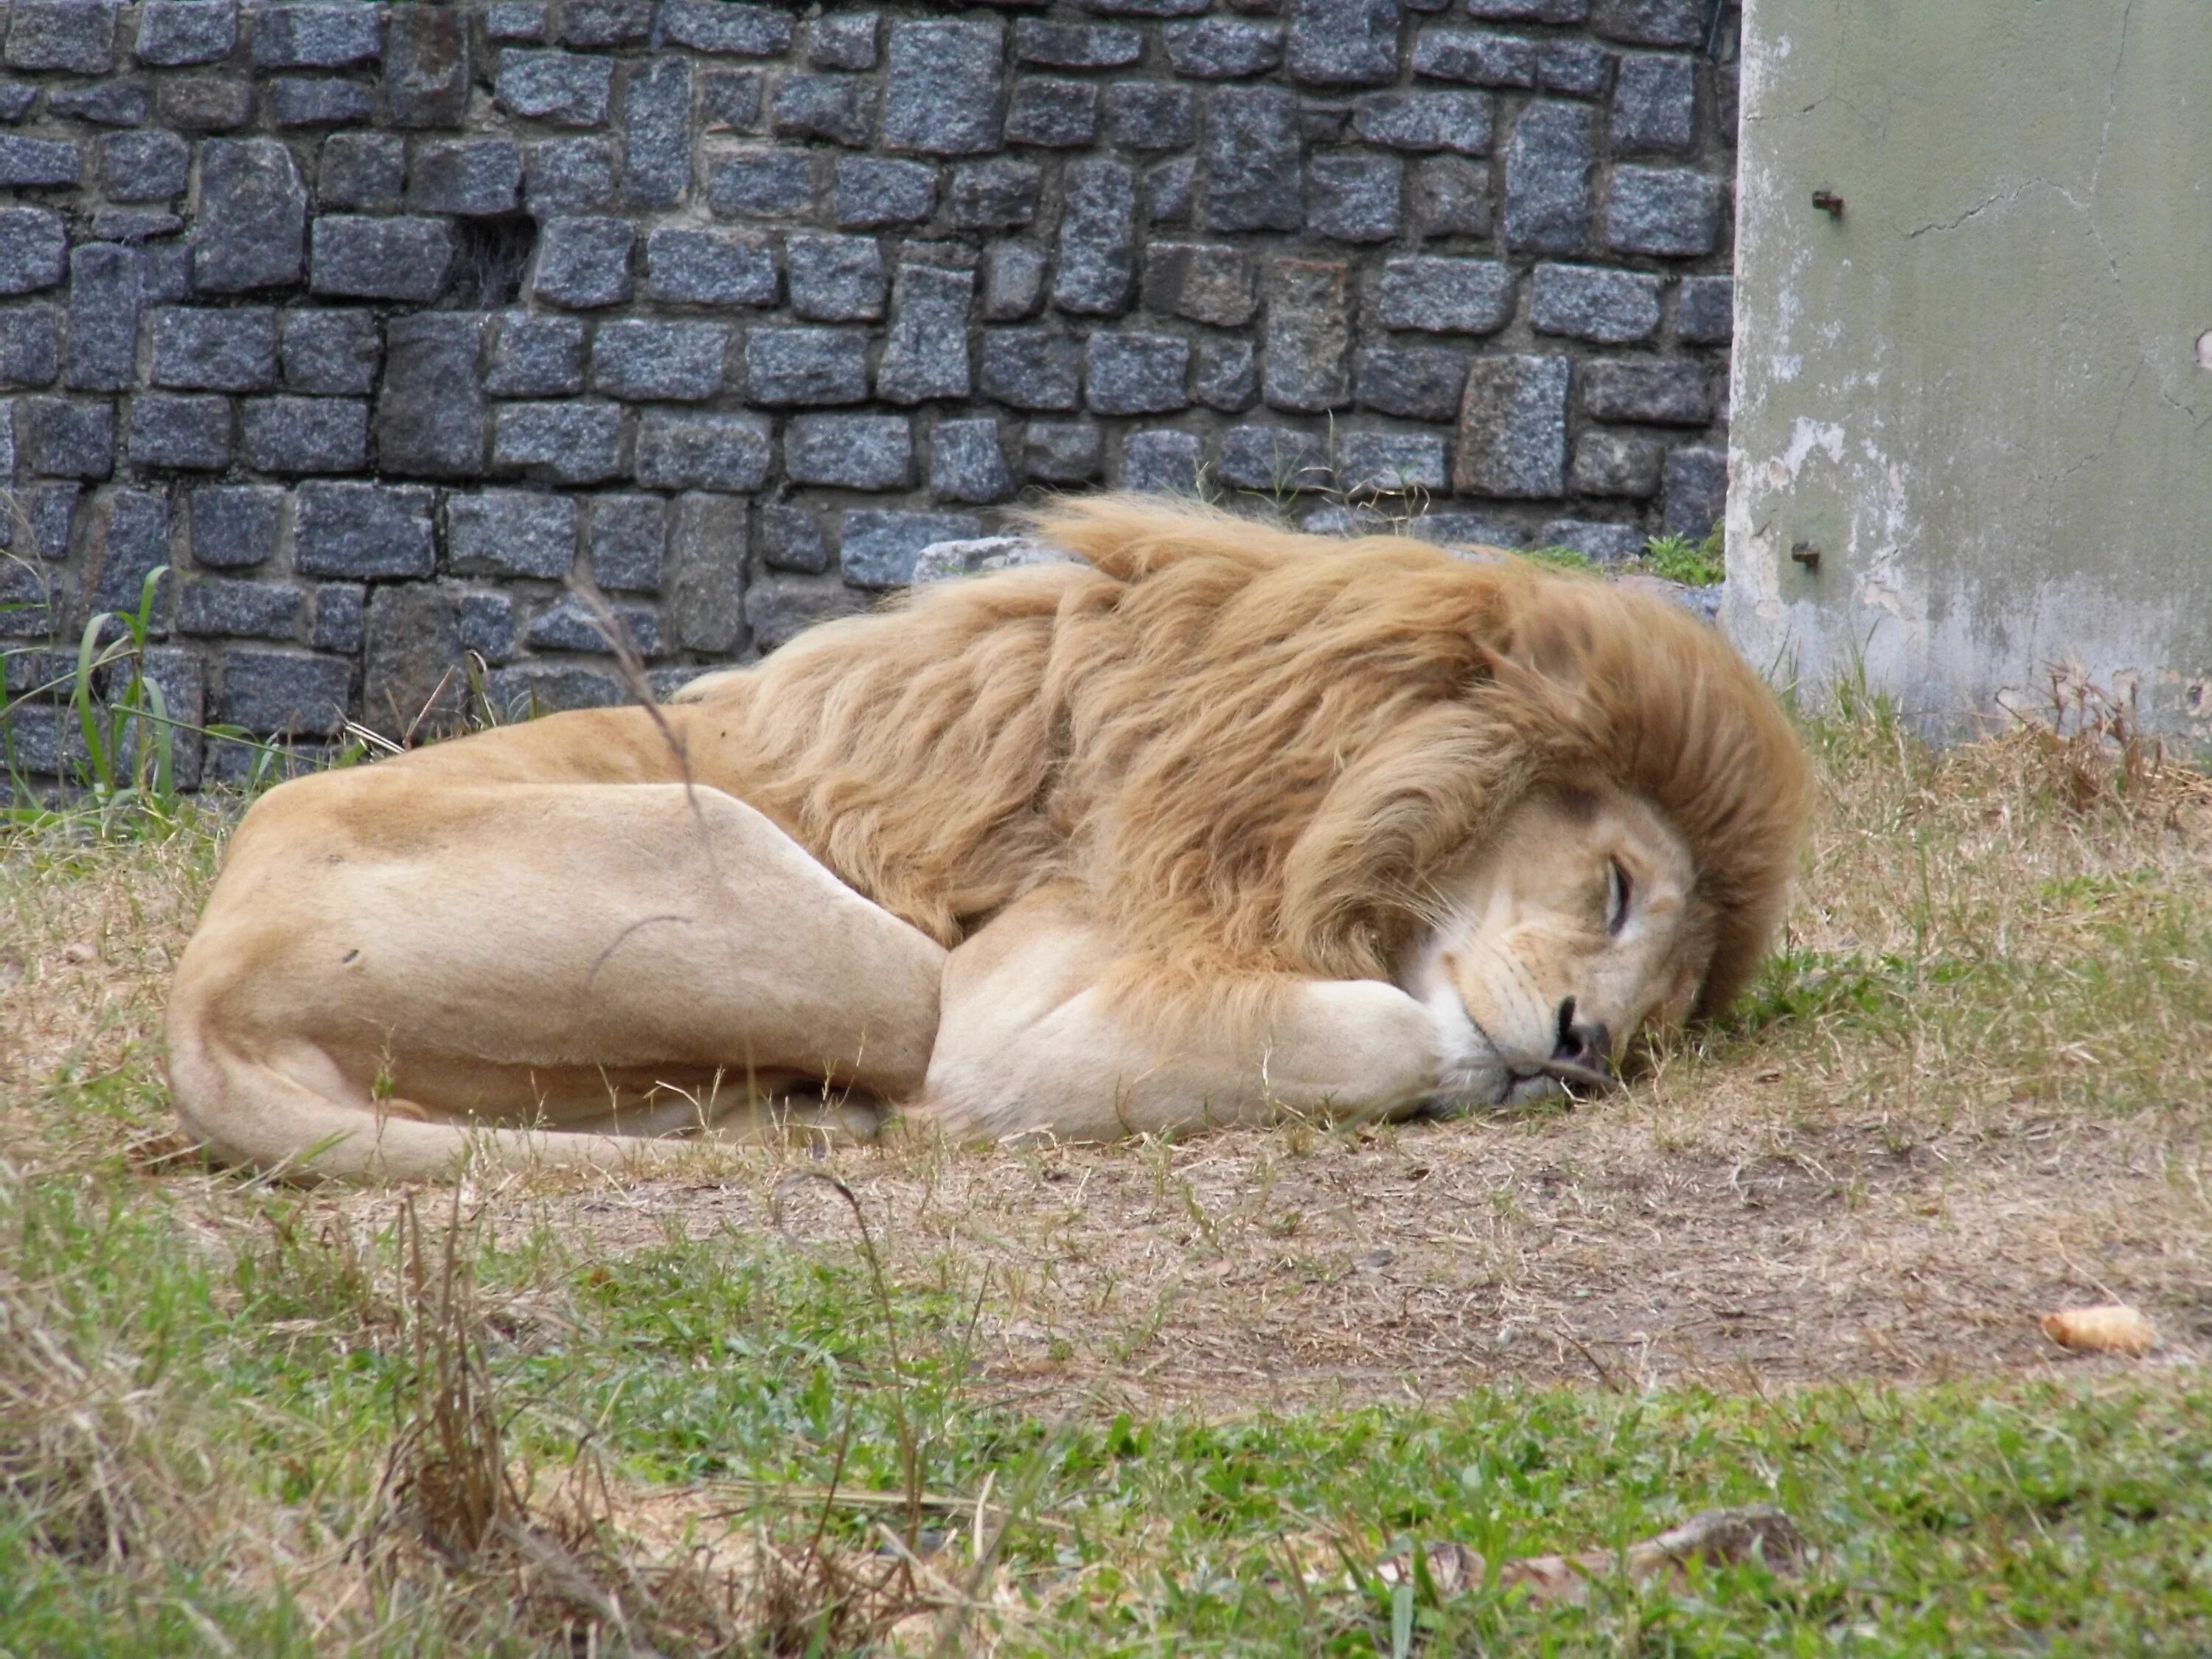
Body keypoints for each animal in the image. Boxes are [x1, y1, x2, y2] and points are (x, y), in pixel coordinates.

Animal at [160, 498, 1814, 1186]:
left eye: (1667, 1027)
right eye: (1617, 888)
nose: (1593, 1053)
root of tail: (203, 1001)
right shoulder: (1009, 1015)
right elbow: (1393, 1034)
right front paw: (1465, 1063)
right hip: (826, 932)